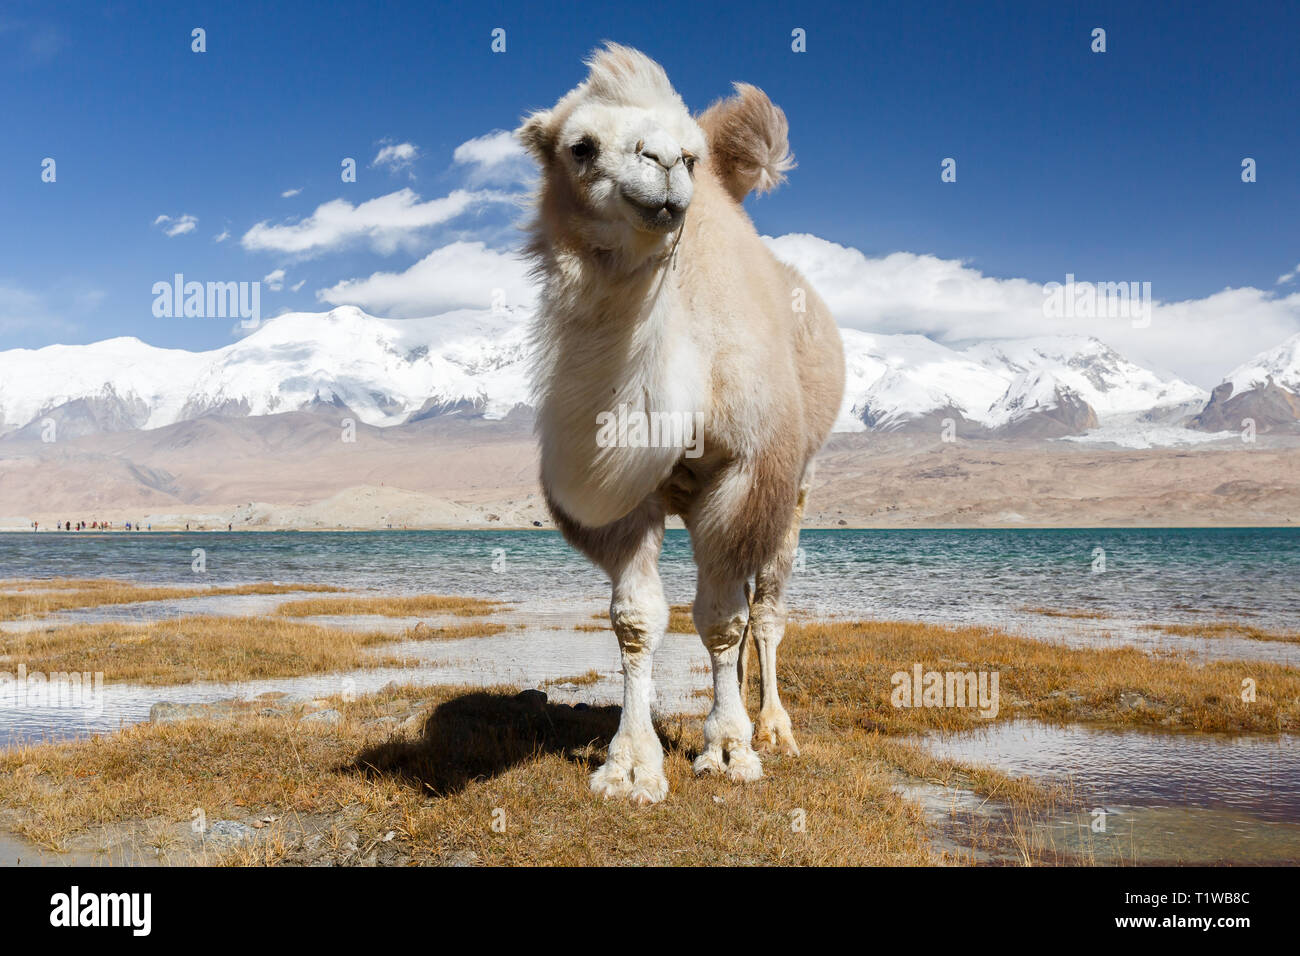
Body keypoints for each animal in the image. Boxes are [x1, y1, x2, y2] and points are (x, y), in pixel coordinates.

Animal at [517, 44, 842, 806]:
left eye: (690, 157)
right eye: (580, 146)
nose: (664, 162)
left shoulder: (746, 474)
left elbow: (723, 620)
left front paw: (727, 749)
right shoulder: (621, 500)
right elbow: (637, 620)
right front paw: (632, 766)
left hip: (796, 487)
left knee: (767, 610)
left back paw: (773, 728)